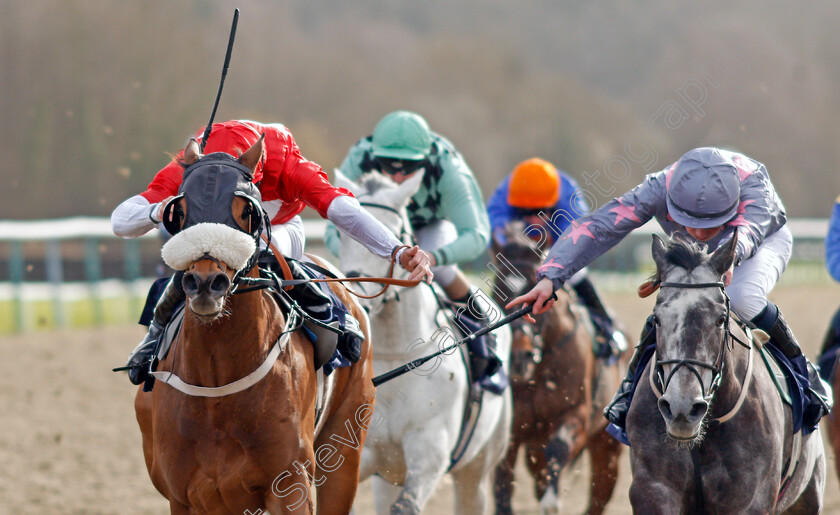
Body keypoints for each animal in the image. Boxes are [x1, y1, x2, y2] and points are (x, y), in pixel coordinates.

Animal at [135, 137, 374, 515]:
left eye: (246, 211)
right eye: (180, 212)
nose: (206, 283)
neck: (217, 385)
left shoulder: (291, 485)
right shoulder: (186, 496)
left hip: (346, 450)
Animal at [330, 171, 512, 515]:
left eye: (391, 232)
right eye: (341, 235)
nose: (355, 298)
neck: (395, 357)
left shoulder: (430, 450)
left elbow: (407, 505)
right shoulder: (358, 454)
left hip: (478, 466)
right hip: (387, 477)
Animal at [492, 224, 624, 515]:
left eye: (533, 290)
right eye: (497, 291)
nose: (518, 358)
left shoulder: (575, 414)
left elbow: (558, 448)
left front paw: (551, 501)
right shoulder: (513, 432)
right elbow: (502, 485)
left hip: (607, 448)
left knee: (599, 495)